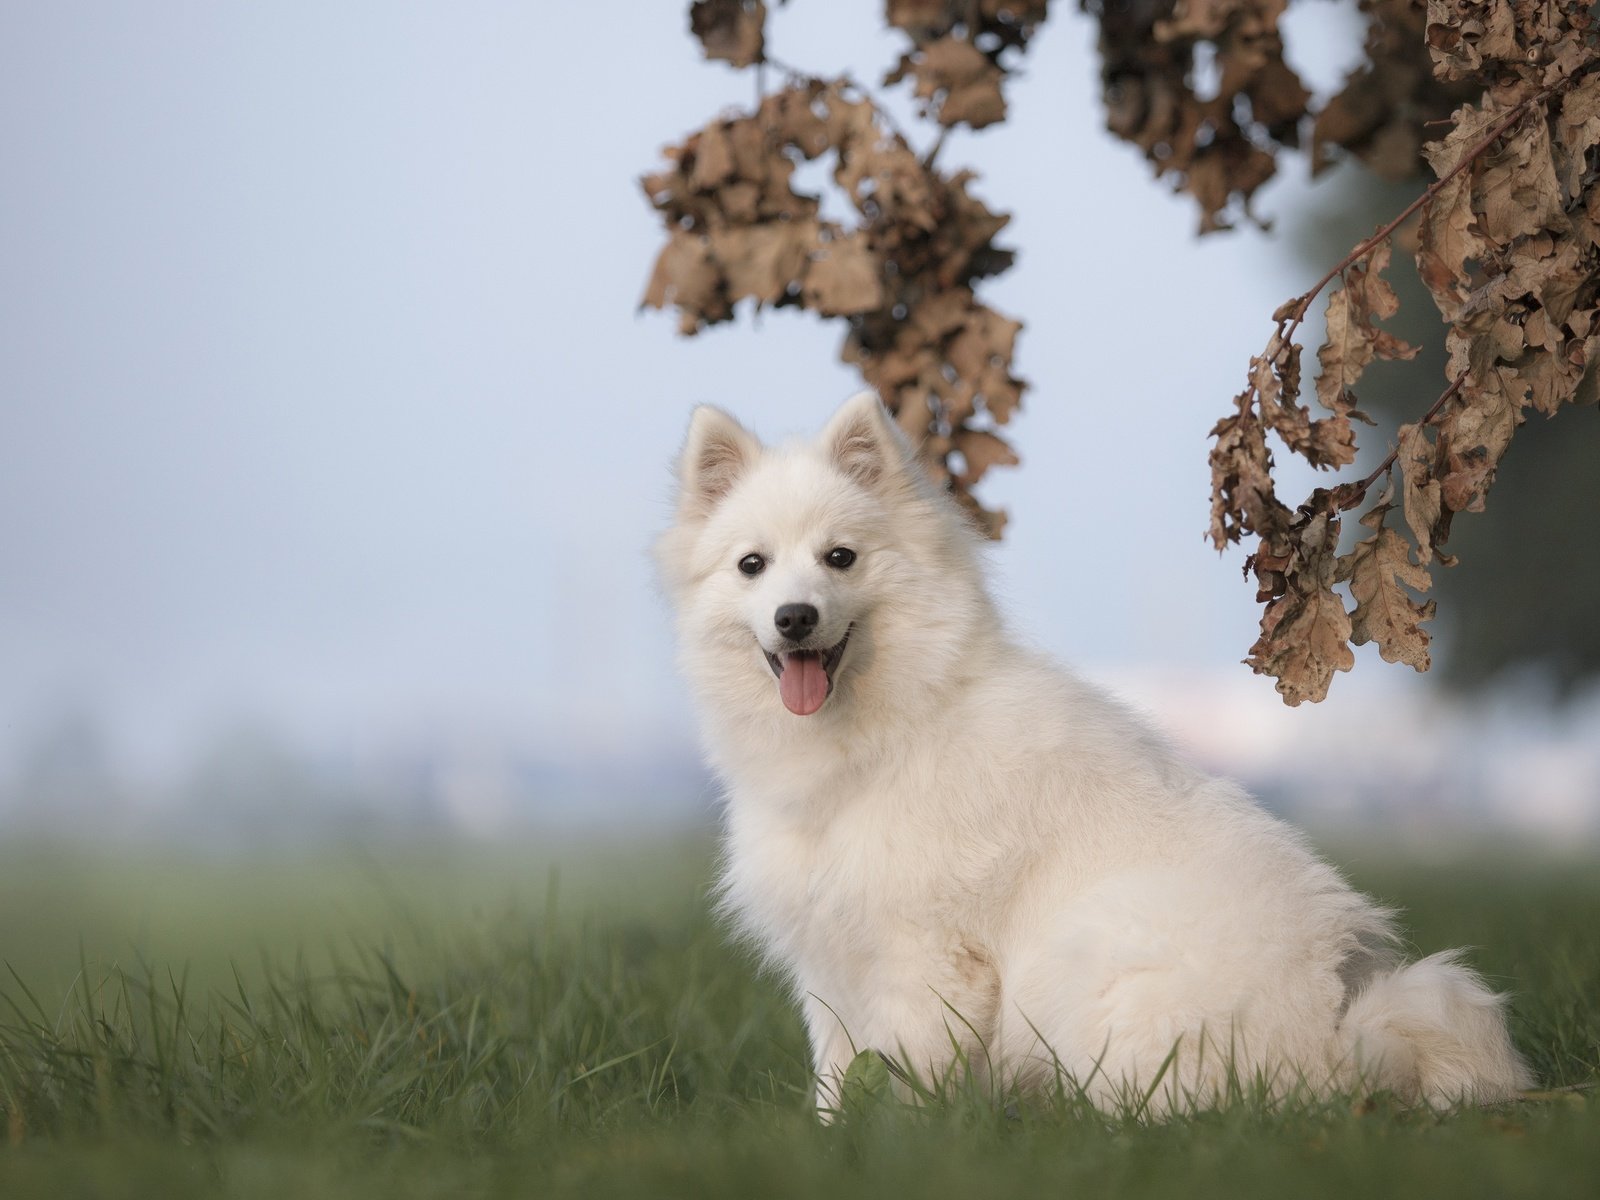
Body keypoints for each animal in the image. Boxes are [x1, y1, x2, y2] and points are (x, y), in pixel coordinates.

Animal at [656, 395, 1529, 1120]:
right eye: (753, 565)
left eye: (841, 558)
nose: (794, 617)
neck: (889, 730)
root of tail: (1337, 1033)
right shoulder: (831, 961)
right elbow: (837, 1076)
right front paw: (833, 1139)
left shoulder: (926, 955)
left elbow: (907, 1071)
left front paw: (901, 1138)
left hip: (1083, 957)